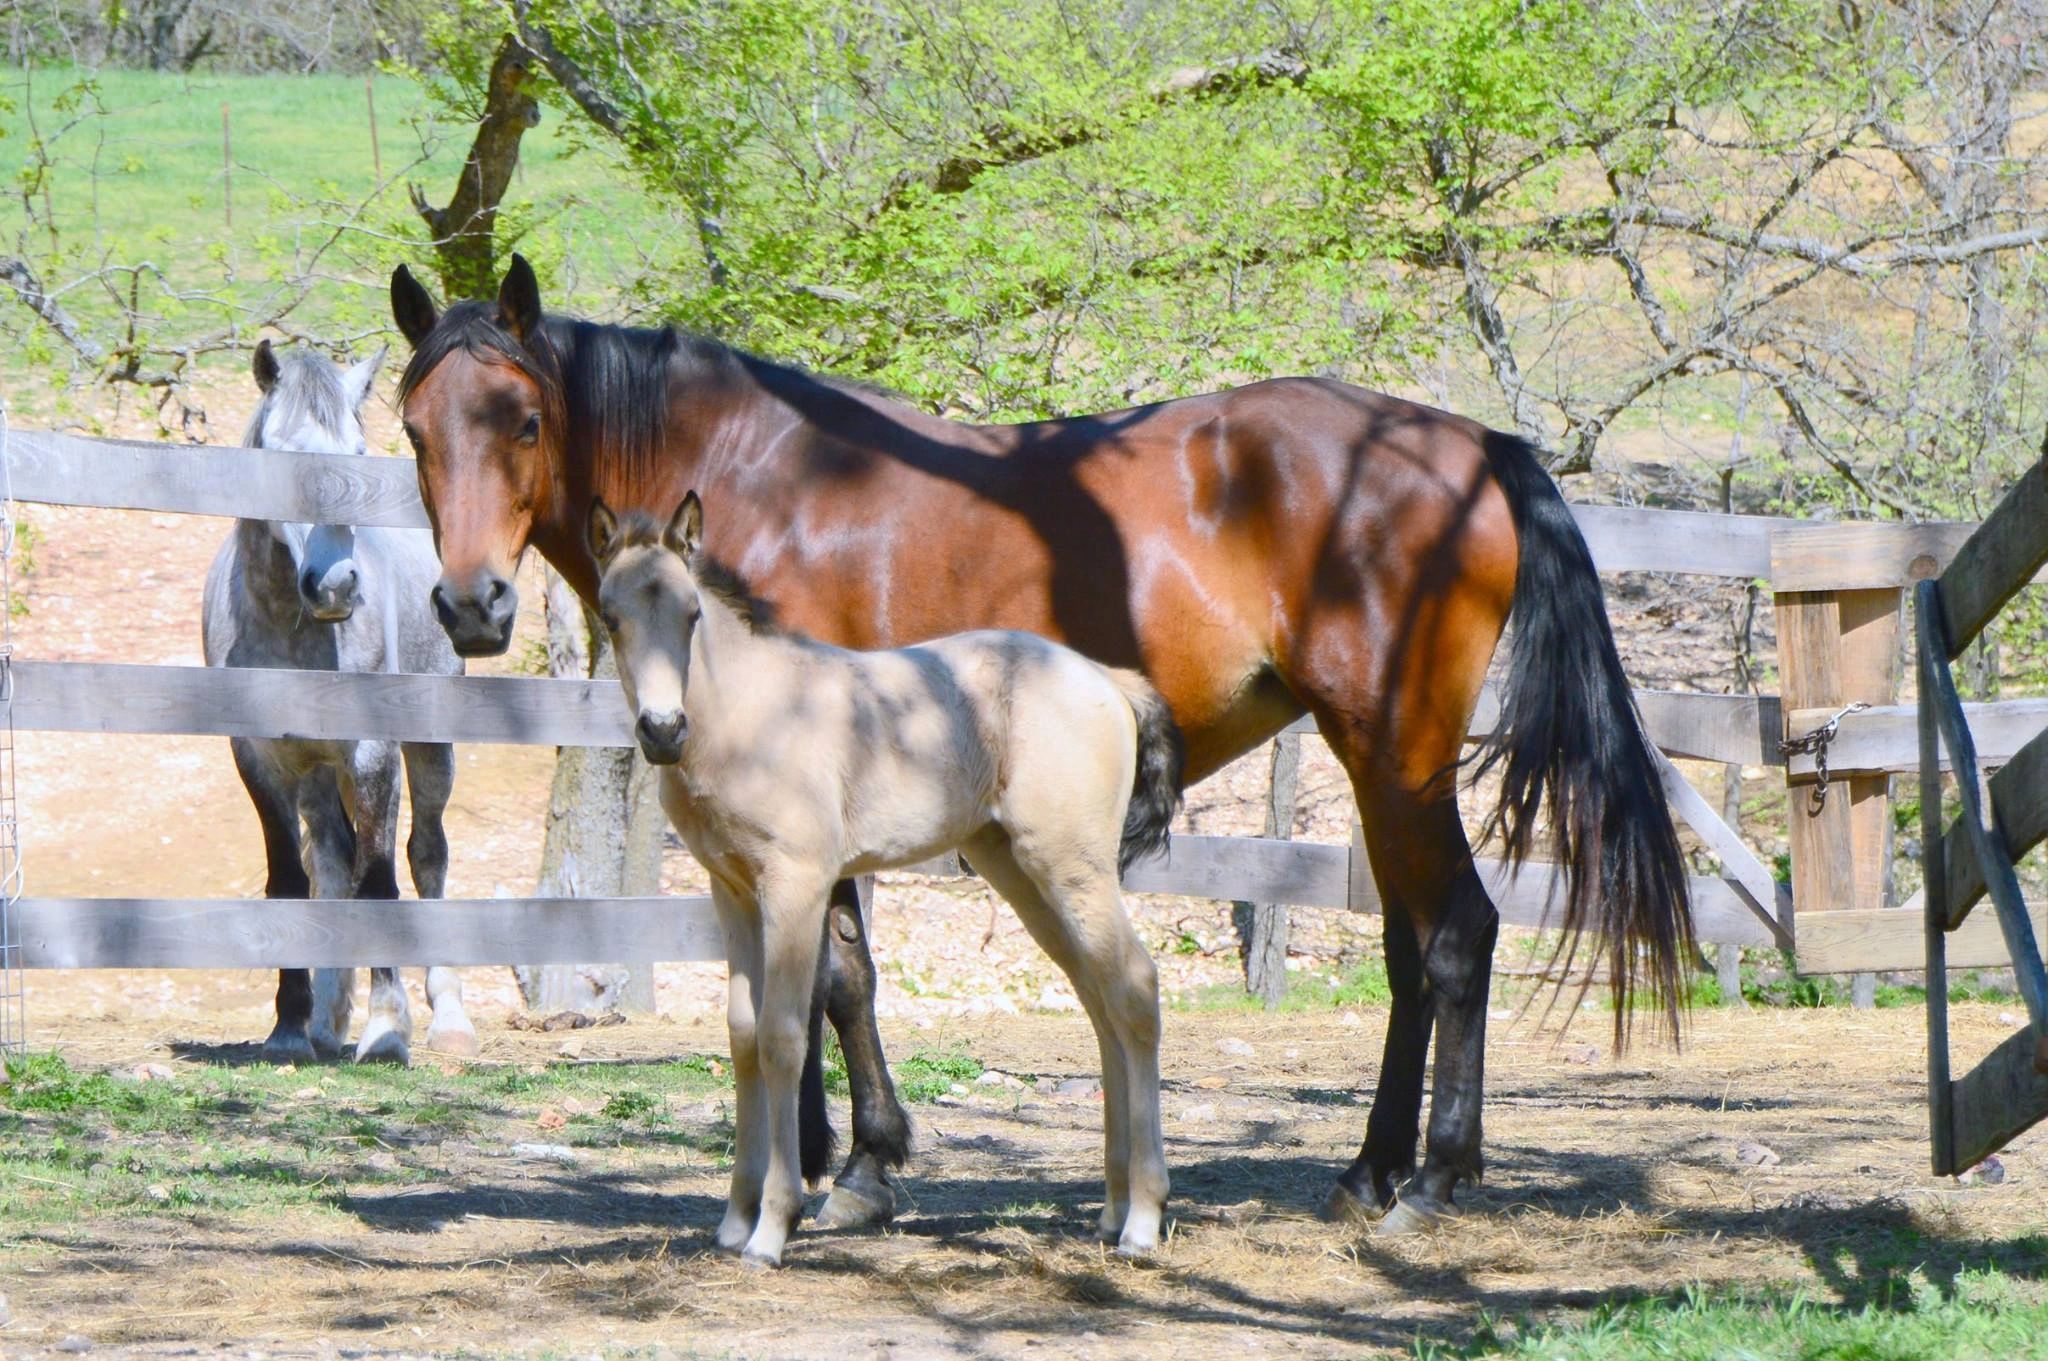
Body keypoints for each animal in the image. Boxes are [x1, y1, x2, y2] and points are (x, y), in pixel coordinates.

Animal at [204, 340, 474, 1065]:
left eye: (355, 454)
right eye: (284, 457)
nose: (338, 586)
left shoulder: (372, 750)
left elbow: (379, 878)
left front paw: (386, 1028)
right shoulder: (259, 760)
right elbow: (291, 882)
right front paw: (290, 1027)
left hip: (427, 751)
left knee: (426, 854)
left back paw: (447, 1016)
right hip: (318, 774)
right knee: (330, 859)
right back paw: (327, 1019)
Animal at [589, 491, 1183, 1264]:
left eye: (691, 614)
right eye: (611, 615)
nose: (663, 729)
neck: (753, 717)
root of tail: (1108, 679)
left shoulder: (796, 883)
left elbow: (784, 1035)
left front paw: (772, 1226)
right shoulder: (733, 889)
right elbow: (743, 1035)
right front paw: (733, 1219)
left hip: (1070, 865)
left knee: (1135, 987)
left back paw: (1143, 1220)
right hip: (1020, 868)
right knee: (1100, 999)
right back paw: (1112, 1212)